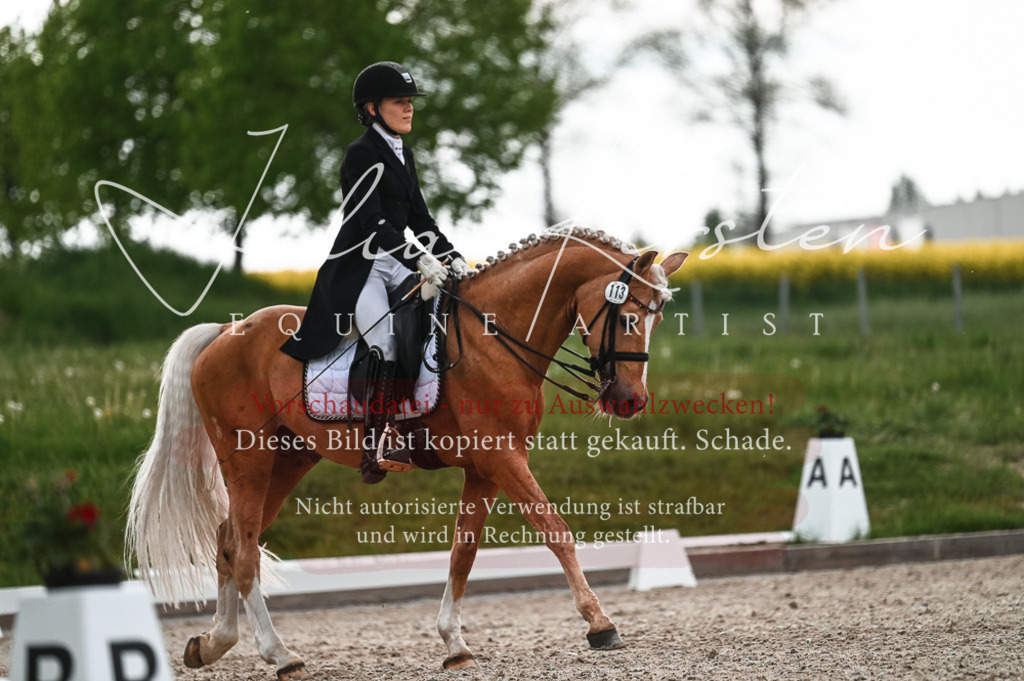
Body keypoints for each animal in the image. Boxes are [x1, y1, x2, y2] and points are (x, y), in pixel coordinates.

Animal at [126, 226, 688, 680]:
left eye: (658, 321)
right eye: (630, 318)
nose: (630, 401)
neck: (494, 335)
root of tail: (225, 332)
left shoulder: (486, 468)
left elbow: (464, 551)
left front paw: (455, 644)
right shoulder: (503, 458)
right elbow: (556, 531)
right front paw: (600, 624)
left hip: (288, 459)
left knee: (228, 540)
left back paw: (212, 644)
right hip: (248, 459)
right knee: (243, 551)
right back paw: (280, 656)